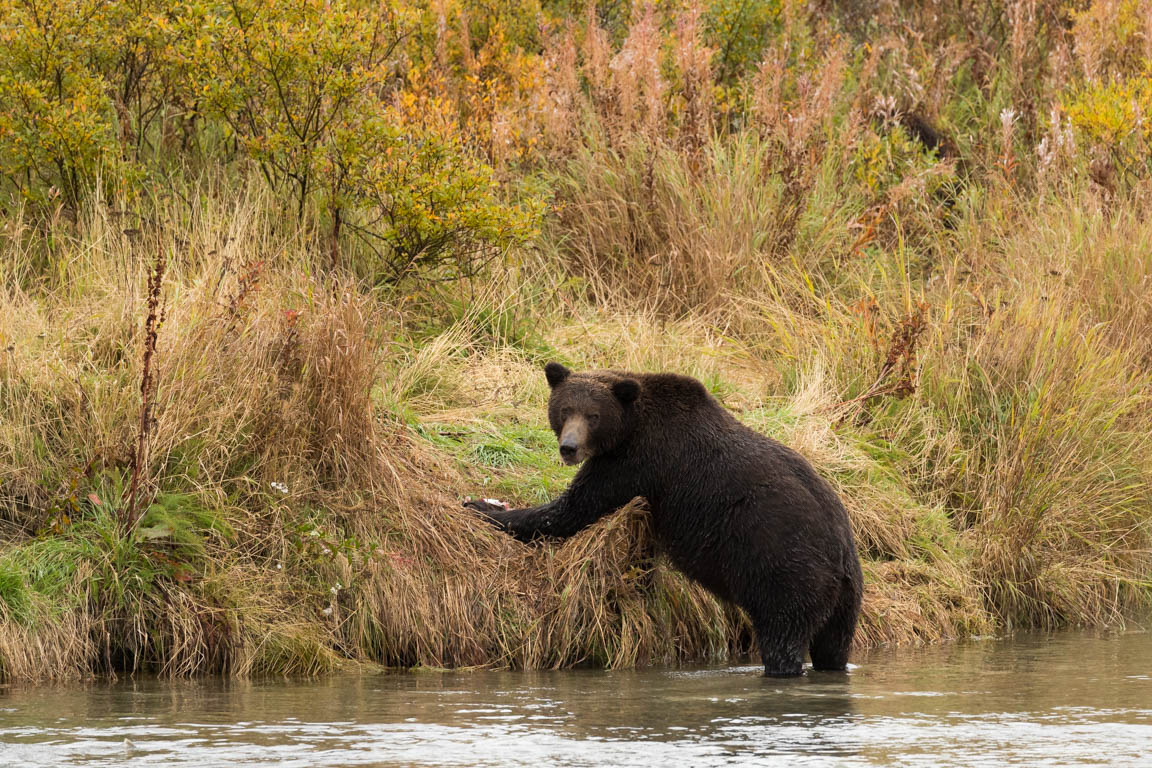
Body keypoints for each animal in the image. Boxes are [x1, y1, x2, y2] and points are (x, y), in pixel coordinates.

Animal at [463, 363, 861, 677]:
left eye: (593, 415)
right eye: (564, 409)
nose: (569, 448)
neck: (630, 426)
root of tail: (841, 555)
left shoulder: (637, 463)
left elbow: (572, 509)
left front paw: (484, 507)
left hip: (784, 573)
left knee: (783, 636)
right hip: (846, 599)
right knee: (833, 645)